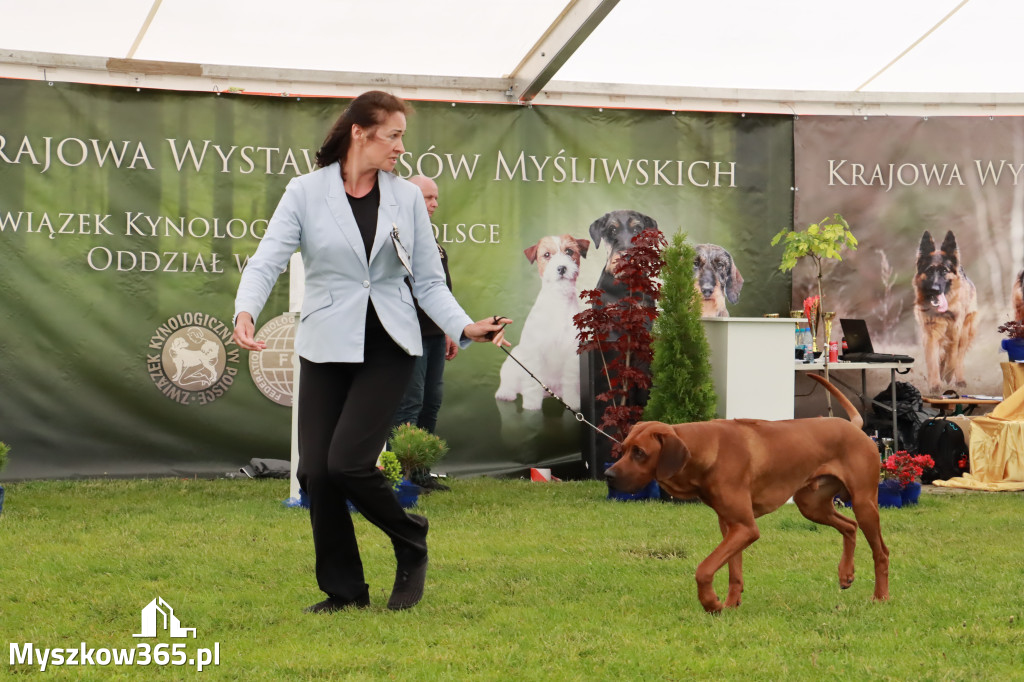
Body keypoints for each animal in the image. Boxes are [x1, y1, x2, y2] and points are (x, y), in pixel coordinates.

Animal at [602, 374, 884, 614]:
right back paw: (846, 573)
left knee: (881, 552)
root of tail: (855, 426)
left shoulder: (745, 527)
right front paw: (730, 604)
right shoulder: (731, 526)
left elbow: (704, 569)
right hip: (811, 505)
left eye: (639, 452)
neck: (706, 449)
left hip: (864, 503)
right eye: (624, 448)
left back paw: (880, 597)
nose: (608, 476)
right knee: (849, 526)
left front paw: (711, 603)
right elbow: (733, 571)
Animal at [917, 228, 978, 391]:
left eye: (944, 271)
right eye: (929, 271)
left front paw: (948, 376)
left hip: (965, 331)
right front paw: (934, 385)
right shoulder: (930, 333)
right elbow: (933, 360)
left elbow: (953, 356)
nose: (935, 289)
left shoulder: (955, 331)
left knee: (959, 356)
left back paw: (959, 379)